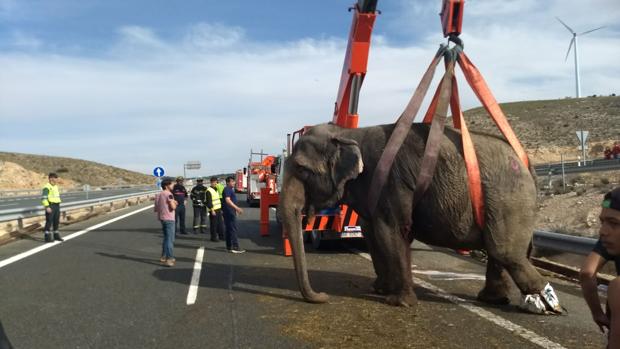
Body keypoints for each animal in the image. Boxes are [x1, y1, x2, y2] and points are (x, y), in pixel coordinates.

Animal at [278, 121, 564, 312]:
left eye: (302, 169)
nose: (323, 296)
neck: (346, 133)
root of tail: (527, 163)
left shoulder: (392, 182)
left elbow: (392, 232)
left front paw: (399, 302)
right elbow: (373, 234)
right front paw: (380, 289)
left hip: (509, 198)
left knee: (506, 252)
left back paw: (549, 305)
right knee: (499, 251)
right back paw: (492, 299)